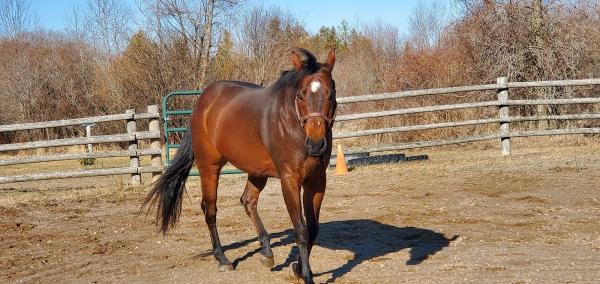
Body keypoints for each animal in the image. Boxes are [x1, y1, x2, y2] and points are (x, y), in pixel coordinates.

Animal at [143, 47, 336, 282]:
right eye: (300, 95)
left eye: (331, 94)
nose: (316, 144)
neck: (292, 123)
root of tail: (203, 102)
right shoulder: (290, 180)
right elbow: (301, 230)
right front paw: (306, 276)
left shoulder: (317, 181)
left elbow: (313, 228)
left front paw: (298, 268)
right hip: (210, 167)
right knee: (210, 209)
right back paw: (223, 259)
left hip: (257, 171)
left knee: (248, 201)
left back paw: (267, 253)